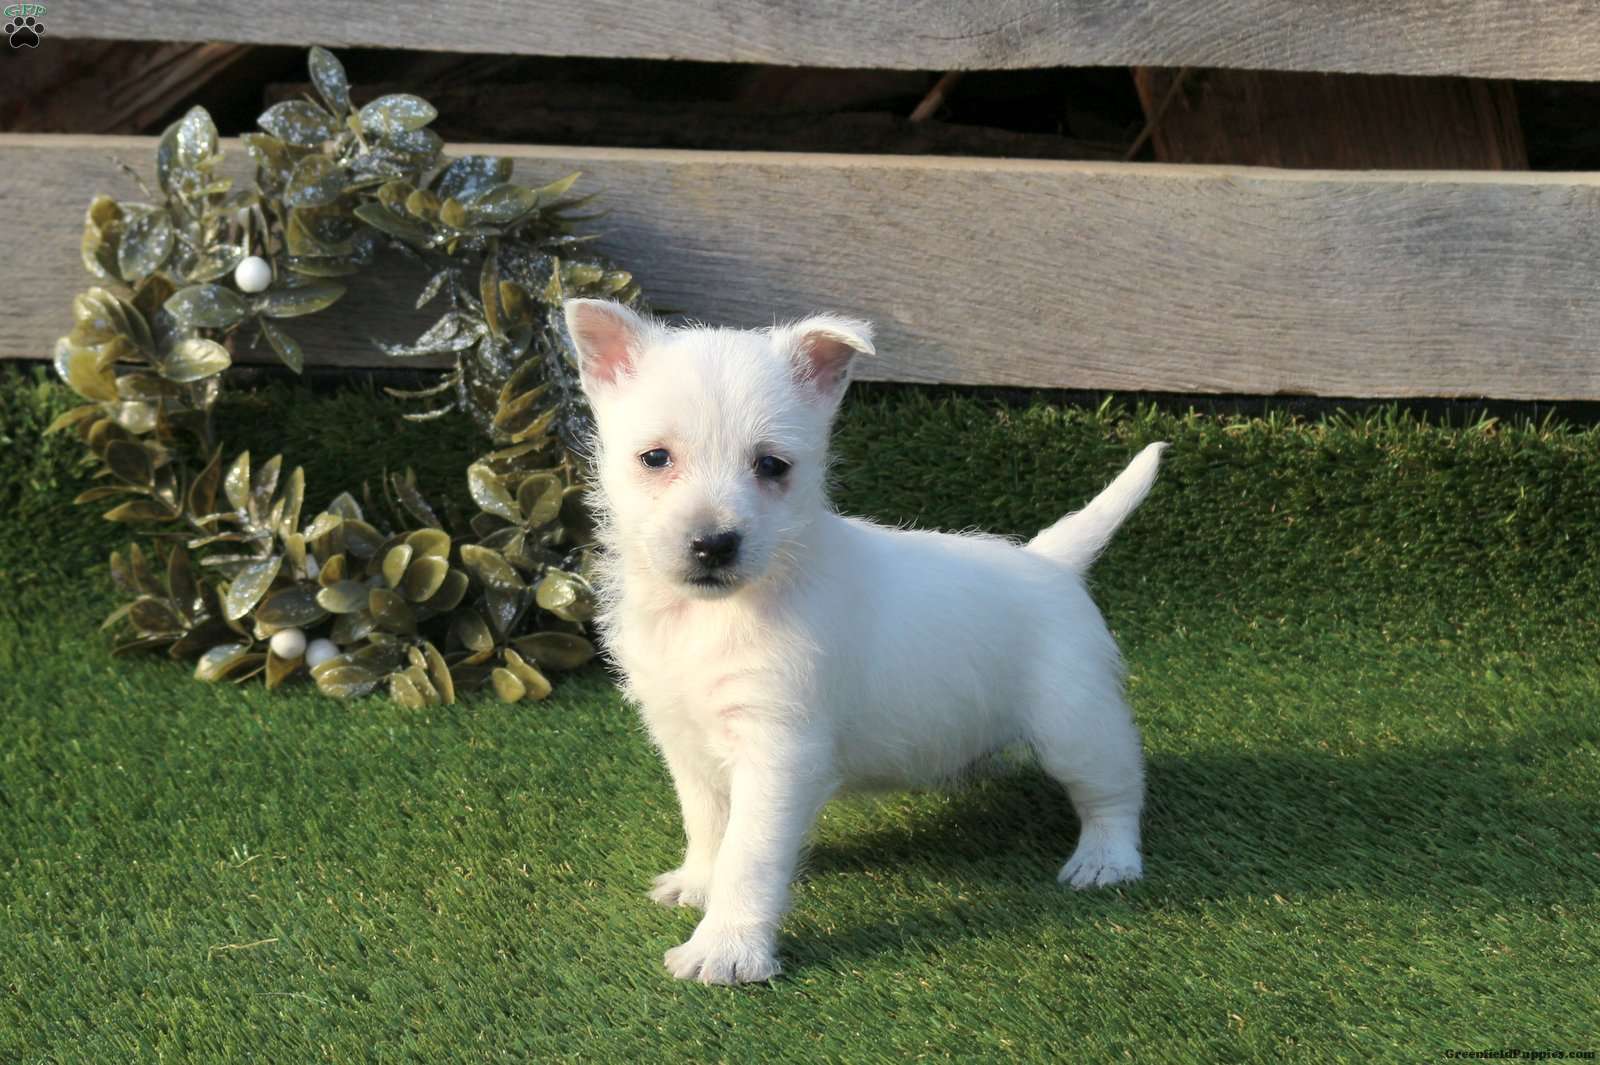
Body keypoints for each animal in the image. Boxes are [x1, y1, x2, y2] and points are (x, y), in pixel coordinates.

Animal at [563, 298, 1164, 985]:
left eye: (771, 465)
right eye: (655, 458)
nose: (713, 545)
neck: (711, 616)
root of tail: (1051, 561)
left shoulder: (778, 752)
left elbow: (749, 854)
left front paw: (726, 947)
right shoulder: (685, 741)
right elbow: (709, 823)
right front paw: (698, 882)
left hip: (1076, 726)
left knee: (1115, 789)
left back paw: (1106, 859)